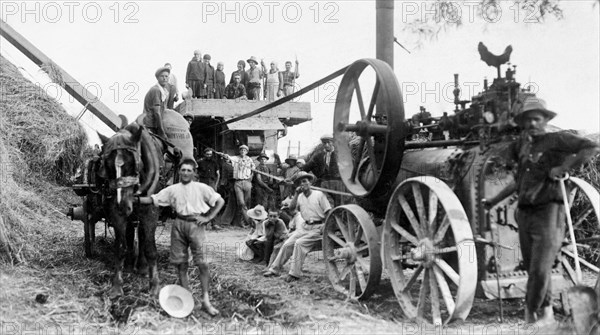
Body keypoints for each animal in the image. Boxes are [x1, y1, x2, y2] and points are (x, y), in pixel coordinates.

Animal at [98, 123, 164, 300]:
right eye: (107, 165)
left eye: (133, 164)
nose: (122, 205)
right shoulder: (116, 214)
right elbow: (120, 247)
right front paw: (116, 286)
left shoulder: (151, 213)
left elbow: (150, 249)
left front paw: (154, 286)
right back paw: (131, 265)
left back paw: (142, 266)